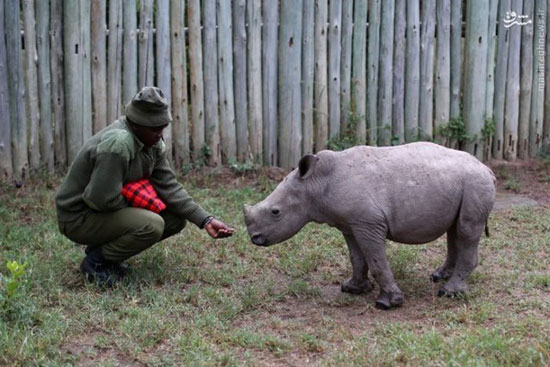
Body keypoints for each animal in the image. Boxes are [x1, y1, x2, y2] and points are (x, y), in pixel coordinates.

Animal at [244, 144, 498, 310]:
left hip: (476, 184)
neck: (315, 185)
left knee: (466, 230)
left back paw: (449, 293)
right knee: (454, 230)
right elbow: (356, 257)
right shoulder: (350, 224)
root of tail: (487, 168)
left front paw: (388, 303)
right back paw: (438, 277)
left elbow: (377, 261)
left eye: (276, 212)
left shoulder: (369, 223)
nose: (254, 238)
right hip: (462, 185)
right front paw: (353, 288)